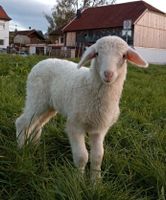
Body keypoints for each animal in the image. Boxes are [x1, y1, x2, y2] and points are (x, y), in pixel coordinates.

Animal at [15, 36, 148, 180]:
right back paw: (21, 148)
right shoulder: (75, 125)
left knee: (37, 124)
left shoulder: (99, 129)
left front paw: (96, 181)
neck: (89, 85)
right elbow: (82, 156)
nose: (108, 74)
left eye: (124, 56)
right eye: (97, 54)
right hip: (36, 98)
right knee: (22, 122)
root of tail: (42, 61)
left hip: (49, 106)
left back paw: (34, 146)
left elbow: (98, 156)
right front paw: (78, 180)